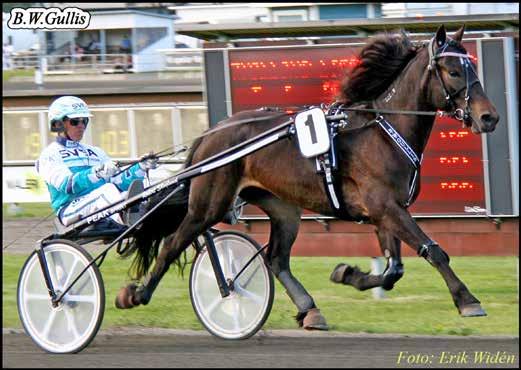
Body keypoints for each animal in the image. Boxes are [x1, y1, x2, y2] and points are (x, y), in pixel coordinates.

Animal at [116, 24, 498, 328]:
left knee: (276, 259)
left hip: (283, 208)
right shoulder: (386, 207)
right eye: (453, 71)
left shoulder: (385, 212)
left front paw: (348, 274)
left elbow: (393, 270)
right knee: (173, 242)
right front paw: (468, 300)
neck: (382, 131)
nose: (489, 117)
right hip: (209, 203)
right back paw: (135, 294)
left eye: (472, 66)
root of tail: (211, 133)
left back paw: (310, 310)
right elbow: (434, 252)